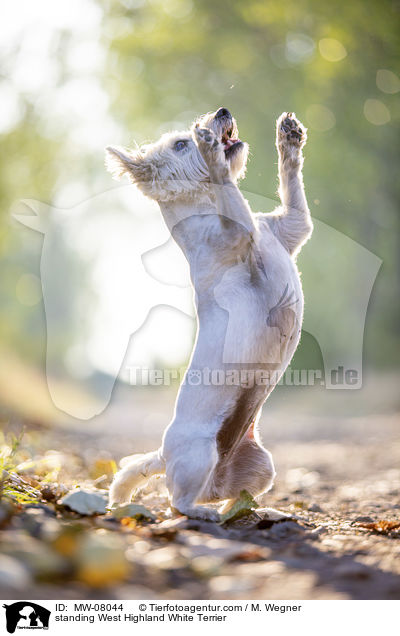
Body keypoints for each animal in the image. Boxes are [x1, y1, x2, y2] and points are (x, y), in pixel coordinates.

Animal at [106, 107, 312, 520]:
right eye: (180, 144)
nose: (221, 112)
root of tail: (163, 455)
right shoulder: (239, 233)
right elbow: (227, 188)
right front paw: (212, 151)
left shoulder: (293, 226)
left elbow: (291, 184)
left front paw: (289, 136)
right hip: (199, 454)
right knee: (178, 502)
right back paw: (205, 514)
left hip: (262, 464)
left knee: (238, 498)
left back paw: (265, 512)